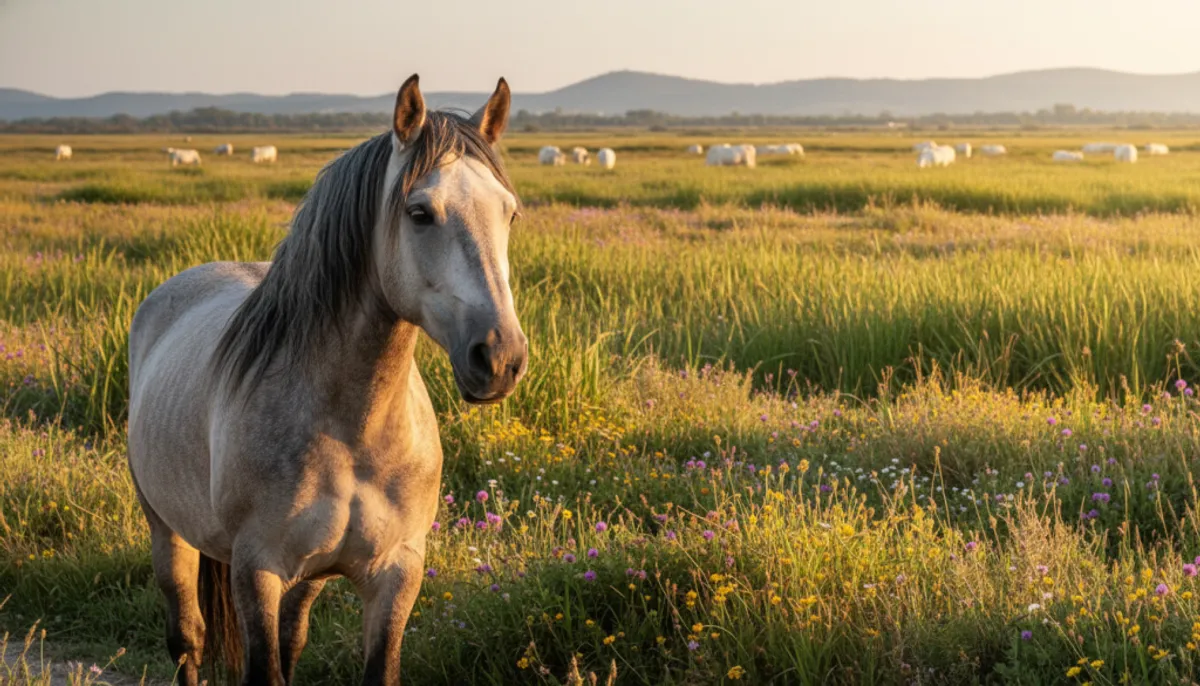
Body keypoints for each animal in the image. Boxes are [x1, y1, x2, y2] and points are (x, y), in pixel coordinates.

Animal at [127, 74, 527, 686]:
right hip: (166, 530)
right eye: (419, 212)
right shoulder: (257, 570)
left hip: (307, 575)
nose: (500, 357)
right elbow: (262, 668)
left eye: (509, 213)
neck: (353, 427)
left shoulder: (397, 573)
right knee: (187, 640)